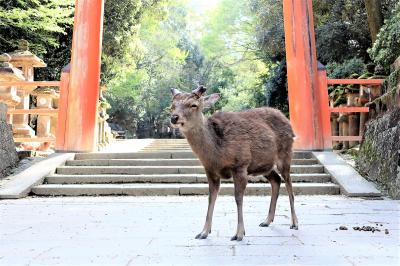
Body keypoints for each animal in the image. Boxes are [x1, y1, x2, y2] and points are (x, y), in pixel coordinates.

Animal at [169, 85, 296, 241]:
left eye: (193, 105)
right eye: (172, 106)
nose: (174, 117)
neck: (216, 154)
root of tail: (287, 120)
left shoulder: (240, 165)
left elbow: (238, 198)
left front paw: (239, 234)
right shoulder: (210, 170)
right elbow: (211, 198)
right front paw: (203, 232)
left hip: (285, 155)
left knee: (289, 184)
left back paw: (294, 223)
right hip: (263, 165)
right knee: (276, 180)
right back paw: (266, 221)